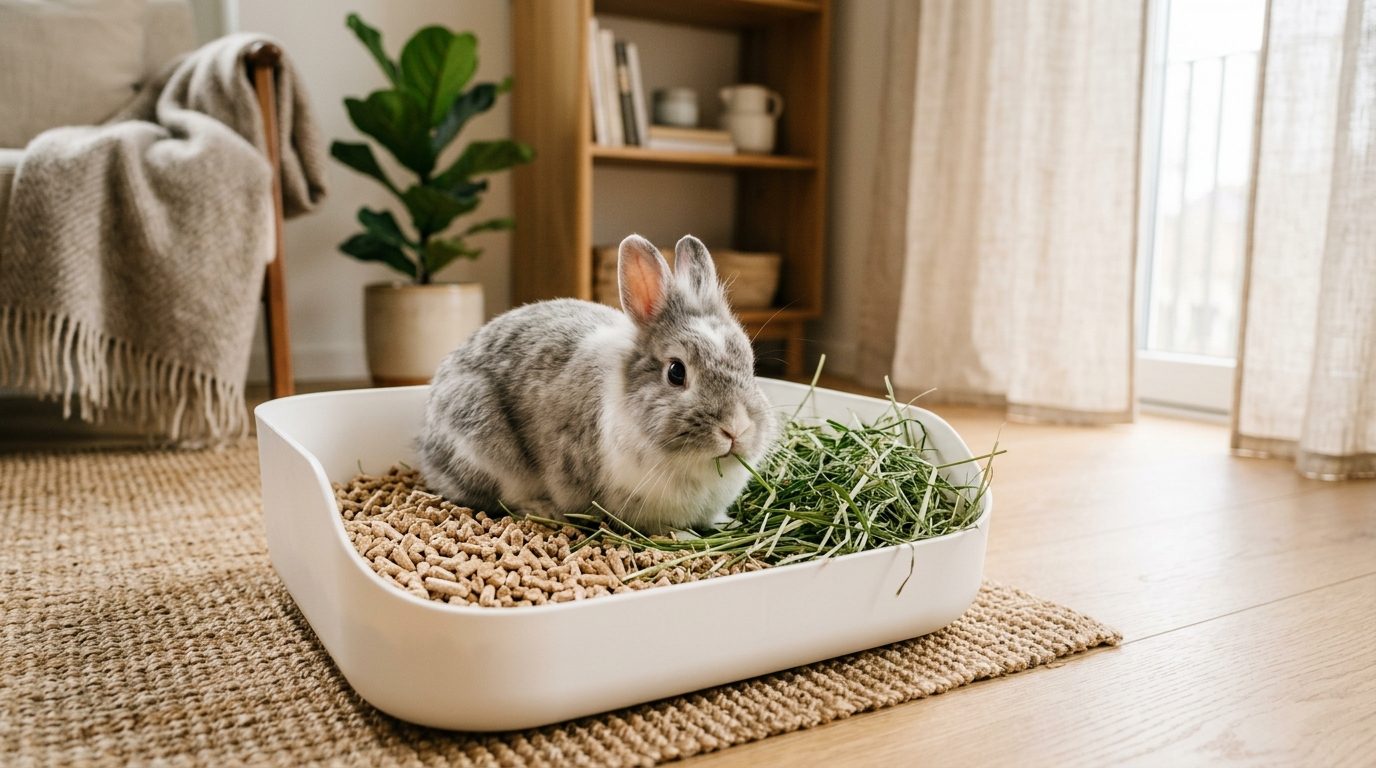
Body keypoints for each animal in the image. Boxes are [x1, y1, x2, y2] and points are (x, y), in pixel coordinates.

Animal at [418, 234, 778, 534]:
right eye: (676, 372)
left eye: (749, 362)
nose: (736, 428)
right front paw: (684, 535)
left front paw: (726, 523)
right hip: (483, 446)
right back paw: (545, 509)